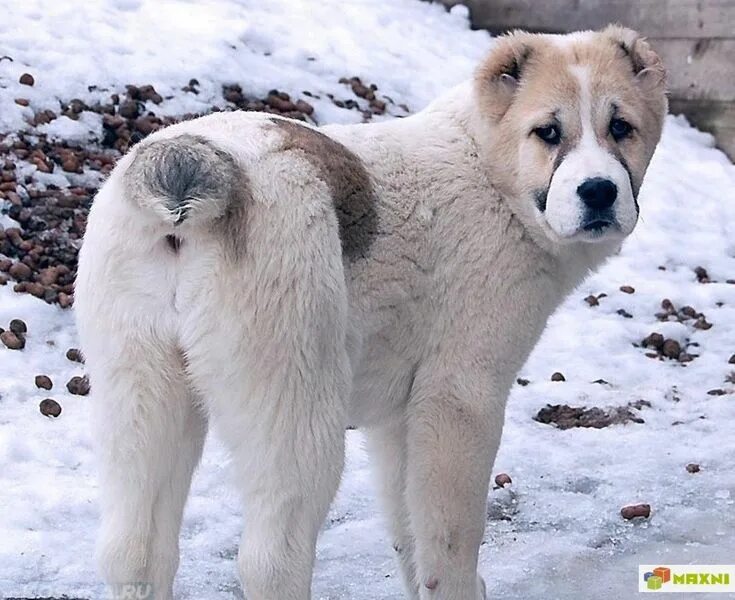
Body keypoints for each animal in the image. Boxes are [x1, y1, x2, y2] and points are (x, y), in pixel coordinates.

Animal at [75, 24, 668, 600]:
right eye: (547, 132)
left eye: (621, 127)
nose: (599, 191)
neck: (487, 170)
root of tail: (193, 166)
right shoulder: (458, 397)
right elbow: (448, 539)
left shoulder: (396, 418)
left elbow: (409, 532)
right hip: (292, 399)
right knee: (271, 560)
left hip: (139, 387)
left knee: (132, 550)